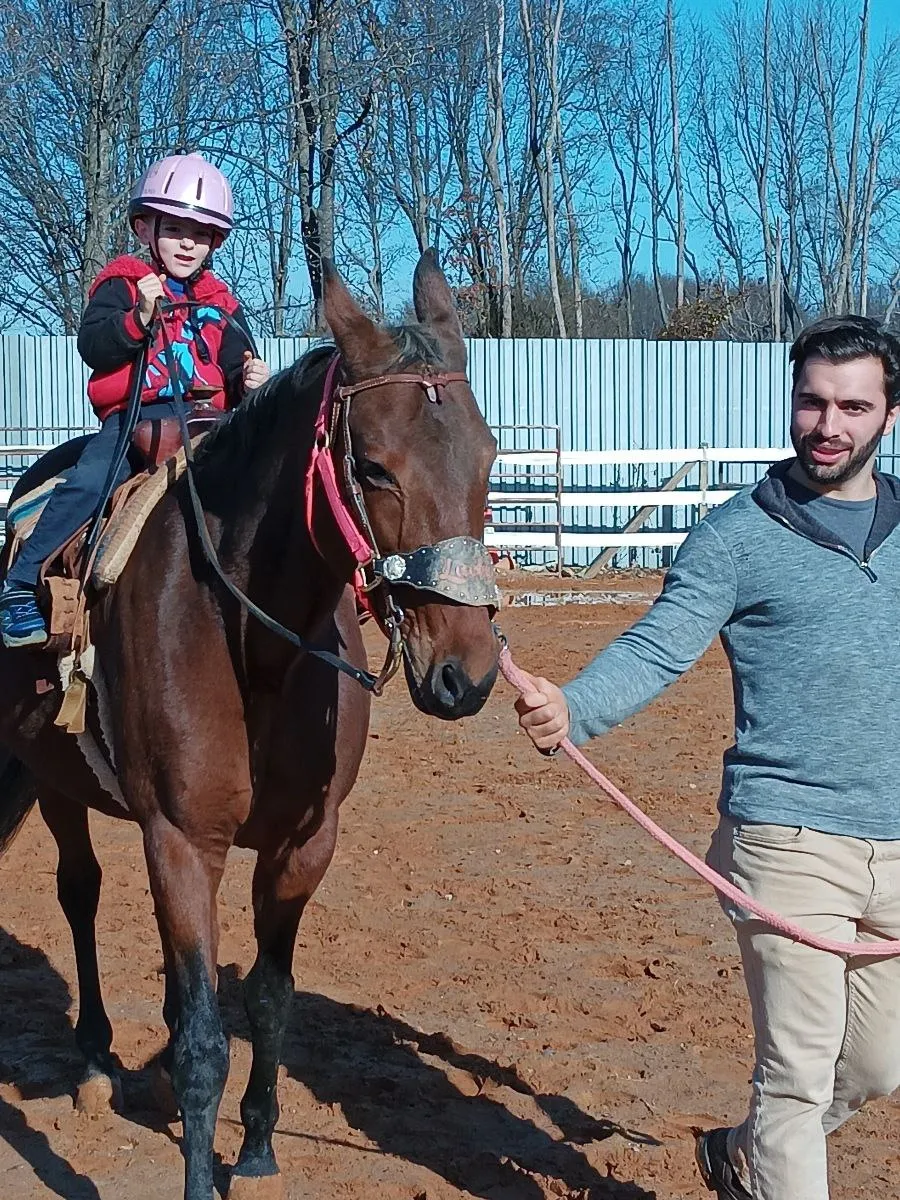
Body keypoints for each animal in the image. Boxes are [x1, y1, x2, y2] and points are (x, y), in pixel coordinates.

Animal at [0, 251, 501, 1200]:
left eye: (490, 456)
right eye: (373, 466)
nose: (468, 672)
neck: (249, 640)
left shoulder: (302, 842)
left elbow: (267, 999)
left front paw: (260, 1144)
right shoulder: (181, 841)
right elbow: (205, 1041)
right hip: (52, 781)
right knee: (79, 893)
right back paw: (94, 1061)